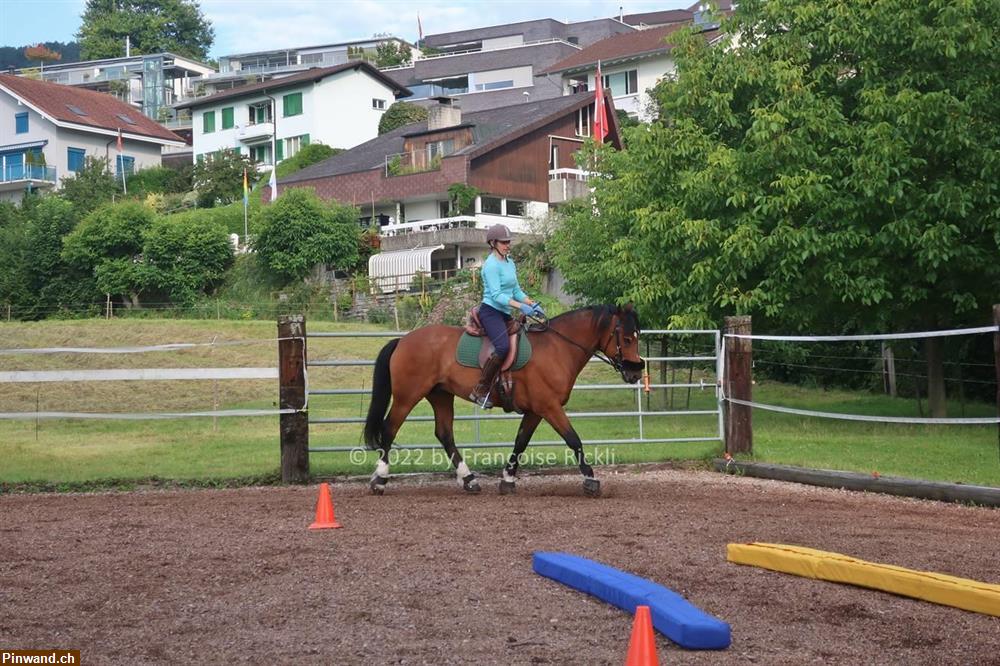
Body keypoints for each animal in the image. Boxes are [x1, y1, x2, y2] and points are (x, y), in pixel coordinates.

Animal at [364, 304, 644, 496]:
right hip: (408, 395)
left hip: (441, 396)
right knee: (390, 429)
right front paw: (590, 479)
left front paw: (507, 480)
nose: (635, 373)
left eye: (637, 335)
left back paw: (469, 480)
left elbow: (520, 442)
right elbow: (573, 439)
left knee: (444, 434)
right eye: (627, 338)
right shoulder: (549, 407)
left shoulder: (535, 411)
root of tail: (403, 340)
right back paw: (380, 479)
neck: (557, 348)